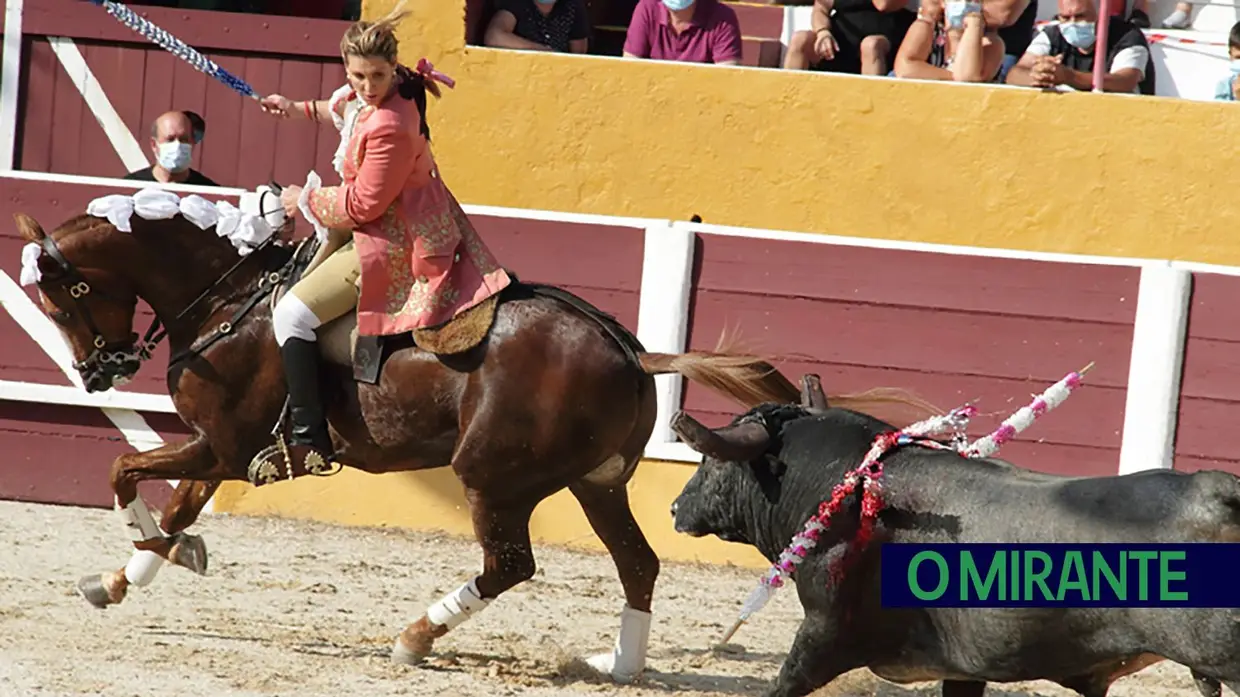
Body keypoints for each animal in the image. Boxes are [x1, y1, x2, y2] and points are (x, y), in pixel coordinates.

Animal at [12, 193, 937, 679]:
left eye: (63, 296)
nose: (95, 372)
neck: (231, 297)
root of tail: (630, 344)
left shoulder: (223, 444)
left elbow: (126, 471)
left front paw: (144, 557)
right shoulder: (224, 447)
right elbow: (172, 505)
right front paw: (122, 579)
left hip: (494, 475)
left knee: (510, 563)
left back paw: (415, 636)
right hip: (595, 482)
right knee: (638, 562)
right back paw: (617, 663)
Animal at [669, 381, 1240, 689]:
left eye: (713, 461)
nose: (676, 506)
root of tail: (1218, 490)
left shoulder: (822, 634)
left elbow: (784, 681)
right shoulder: (965, 669)